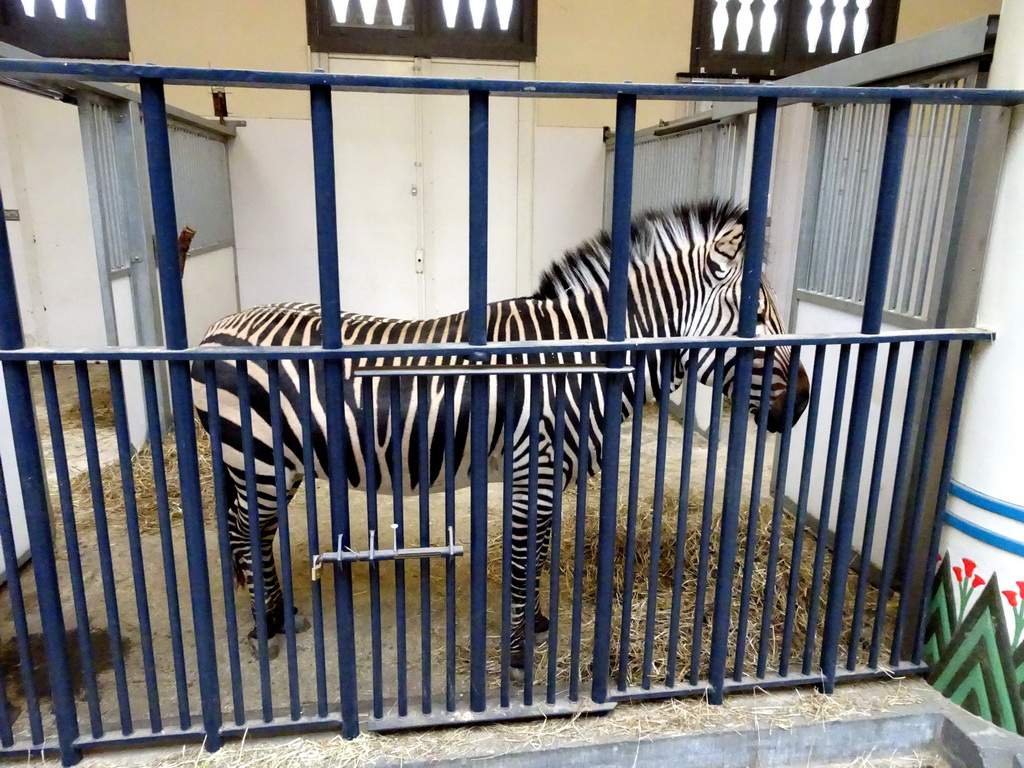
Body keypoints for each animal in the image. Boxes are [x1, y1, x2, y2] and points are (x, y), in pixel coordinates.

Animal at [190, 198, 806, 667]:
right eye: (759, 321)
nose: (800, 405)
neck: (576, 359)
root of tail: (215, 327)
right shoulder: (535, 464)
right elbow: (522, 556)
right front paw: (516, 656)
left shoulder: (546, 472)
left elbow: (538, 551)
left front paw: (535, 624)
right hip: (256, 459)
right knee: (246, 532)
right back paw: (266, 631)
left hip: (281, 463)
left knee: (251, 531)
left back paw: (277, 617)